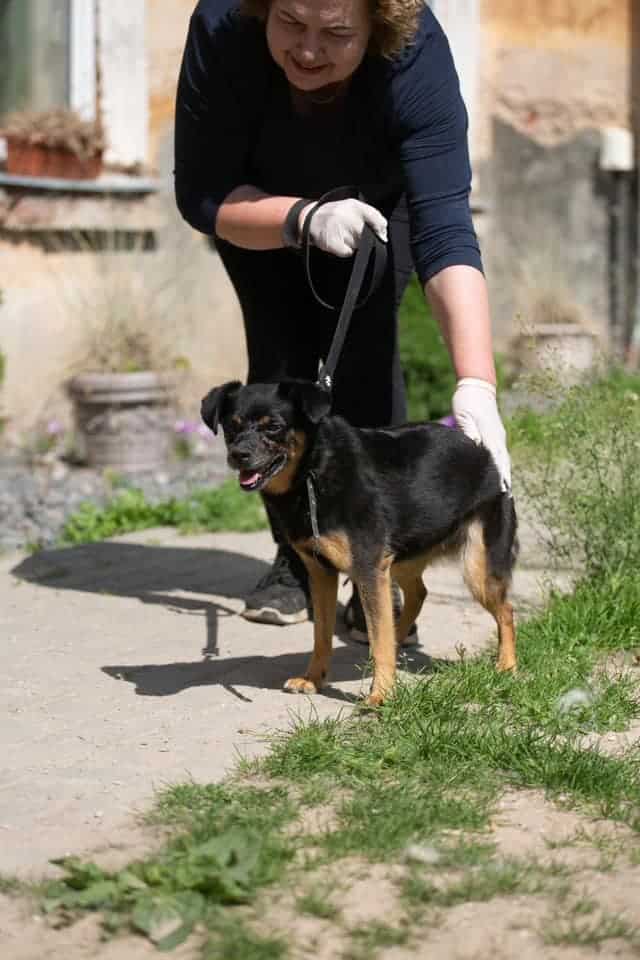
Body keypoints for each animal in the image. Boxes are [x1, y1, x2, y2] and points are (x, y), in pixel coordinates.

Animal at [201, 379, 518, 706]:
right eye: (231, 426)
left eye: (274, 426)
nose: (238, 454)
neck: (313, 472)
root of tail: (482, 452)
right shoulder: (322, 573)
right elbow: (322, 636)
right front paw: (313, 679)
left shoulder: (367, 568)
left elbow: (377, 639)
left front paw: (381, 694)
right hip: (400, 556)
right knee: (417, 595)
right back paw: (399, 638)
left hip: (476, 568)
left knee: (506, 612)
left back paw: (506, 667)